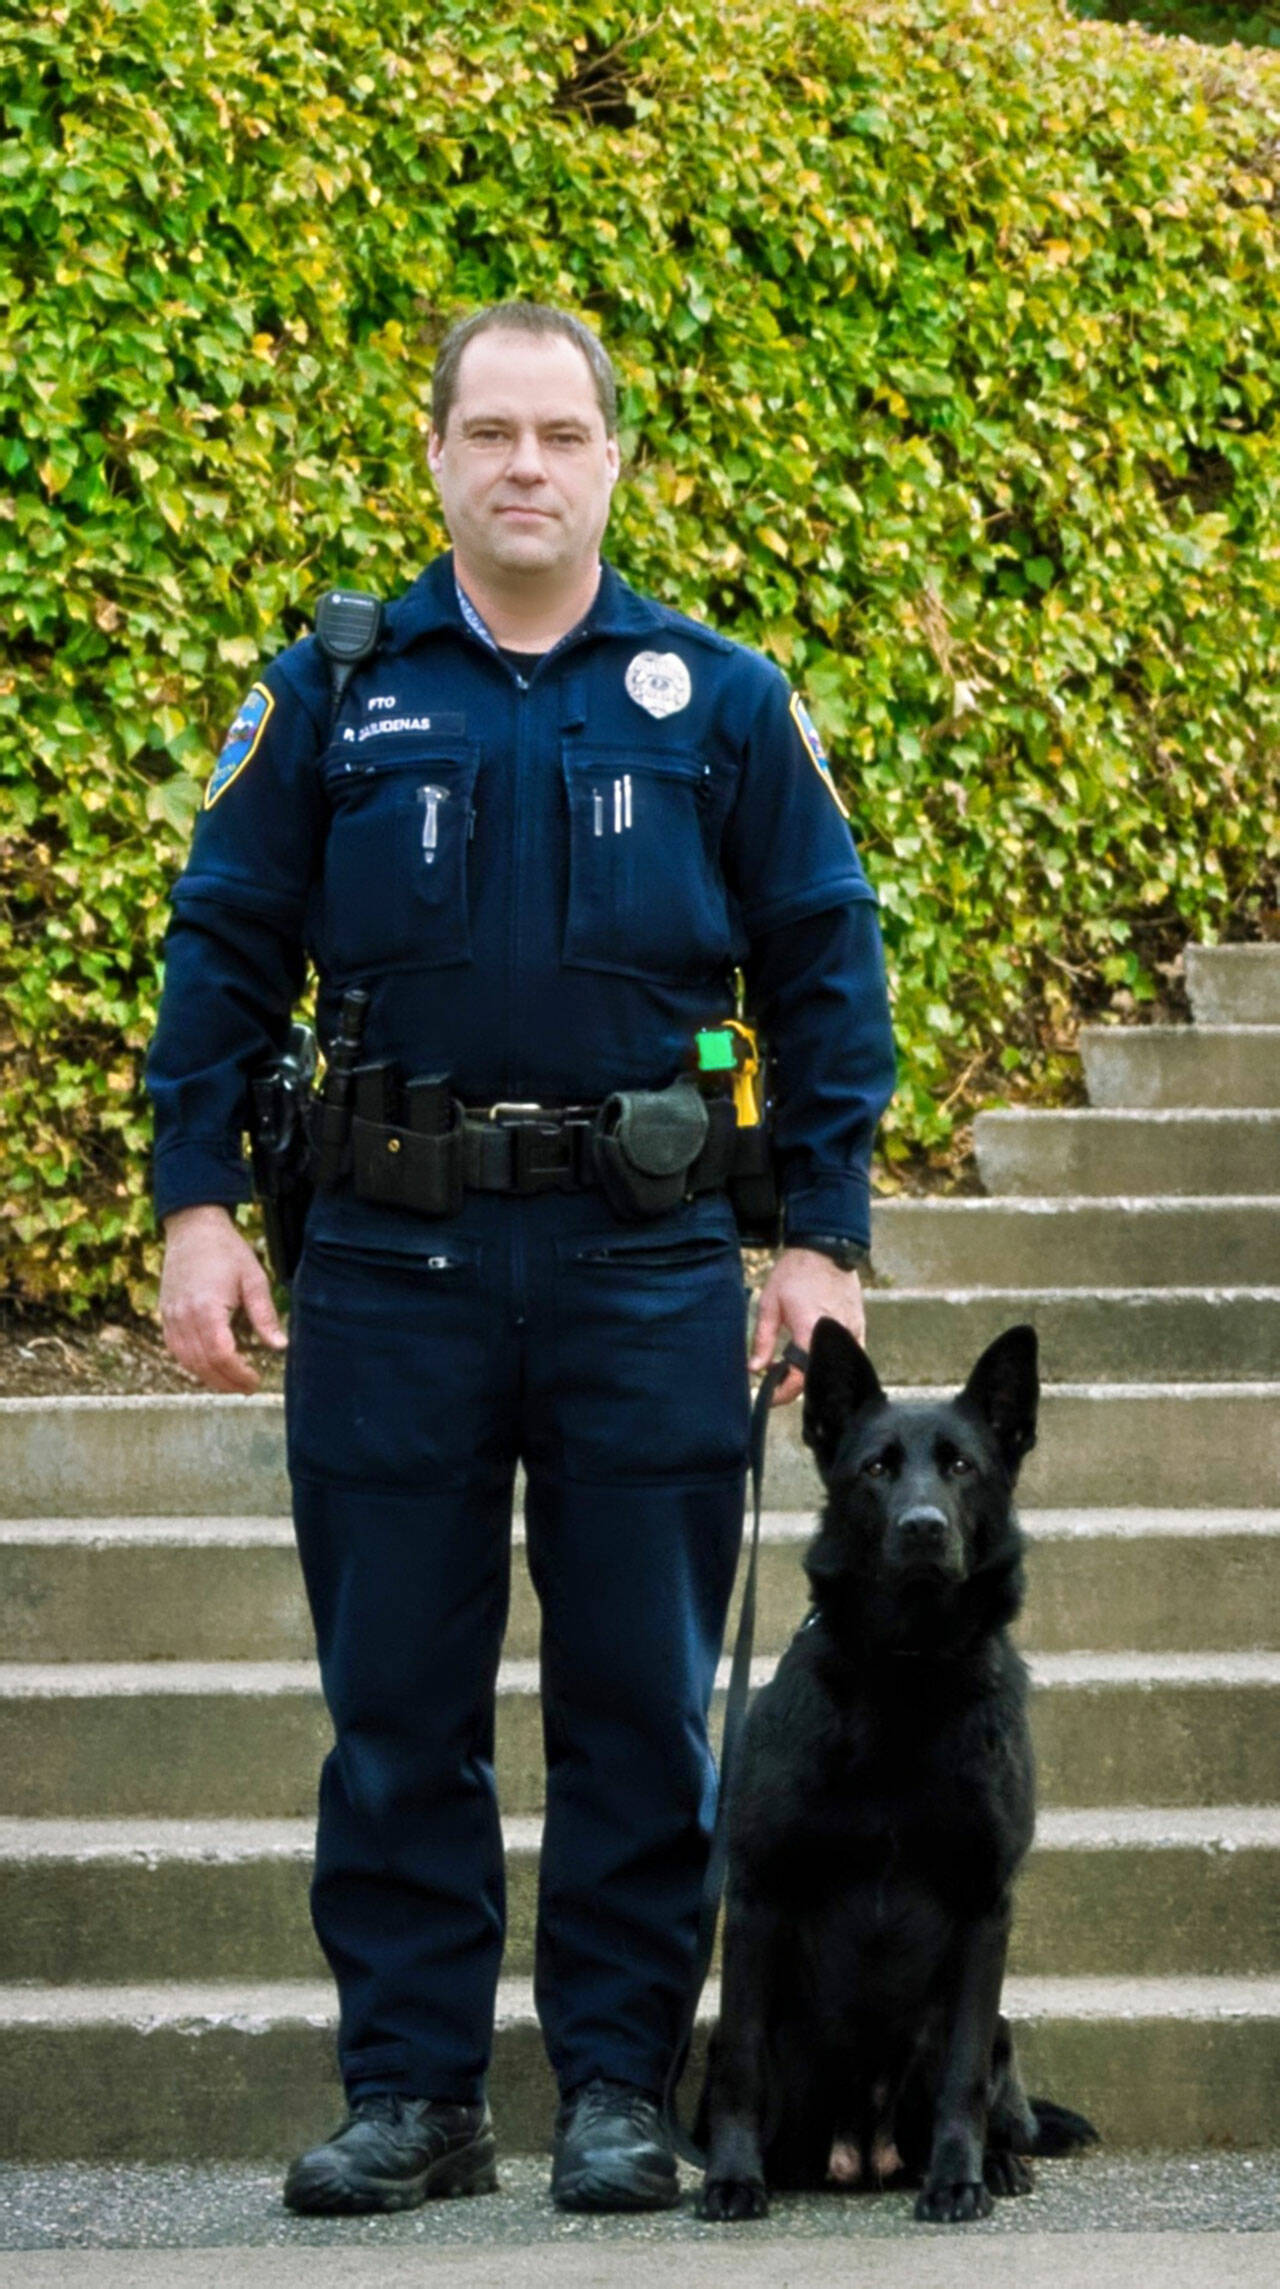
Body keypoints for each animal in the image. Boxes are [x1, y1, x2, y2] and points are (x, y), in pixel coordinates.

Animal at [700, 1318, 1103, 2224]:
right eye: (876, 1467)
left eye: (961, 1465)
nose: (922, 1527)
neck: (907, 1670)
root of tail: (863, 2149)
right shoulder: (757, 1895)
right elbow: (740, 2063)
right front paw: (731, 2177)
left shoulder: (986, 1906)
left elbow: (961, 2076)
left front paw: (957, 2178)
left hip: (999, 2030)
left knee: (989, 2085)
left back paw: (994, 2162)